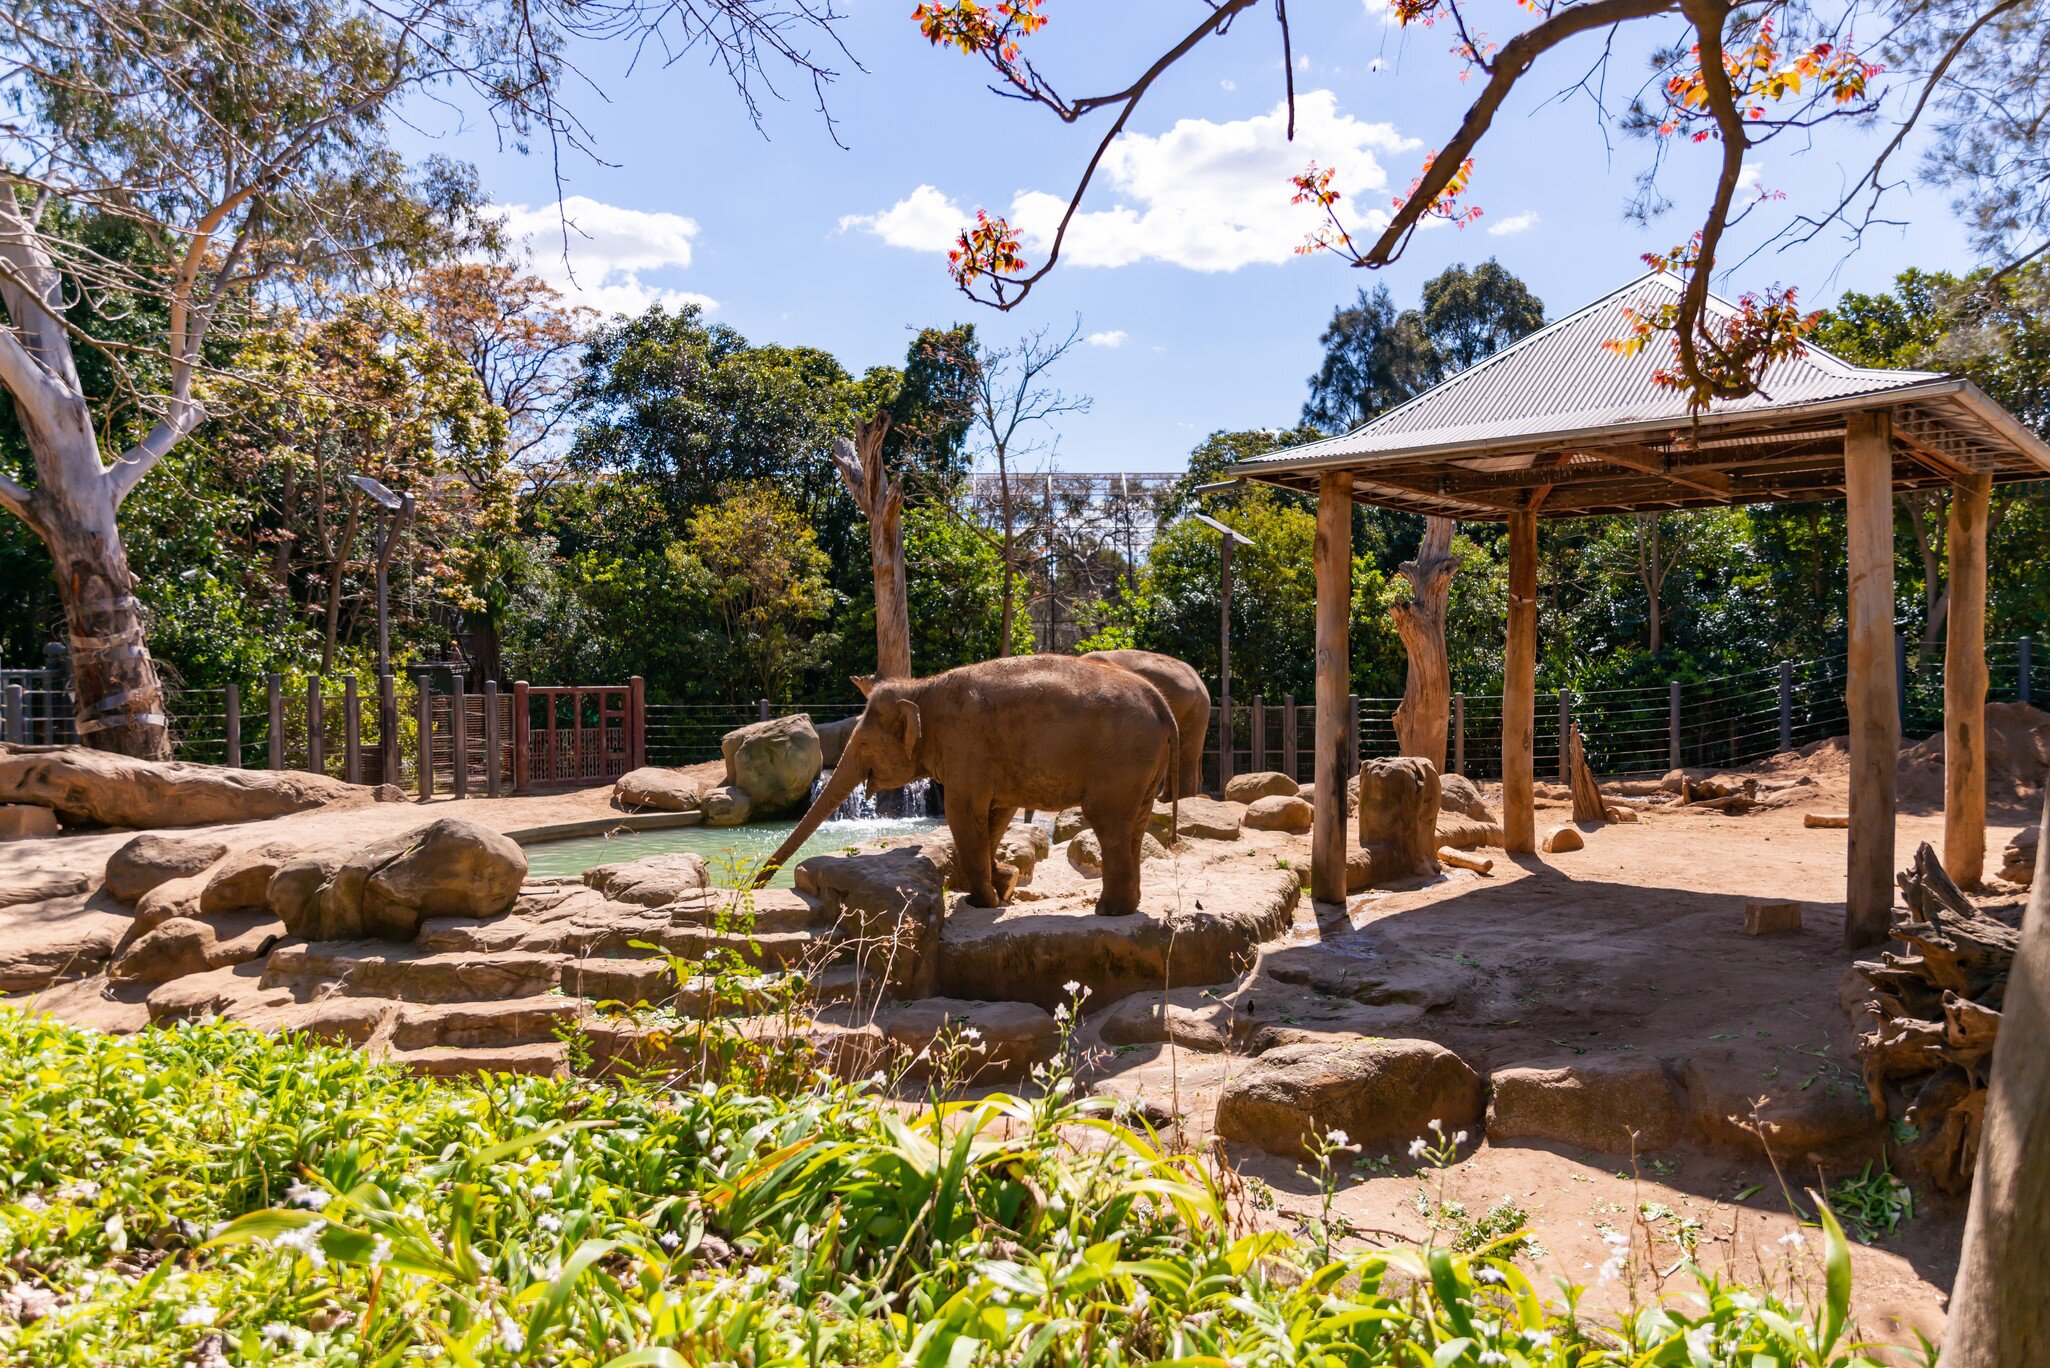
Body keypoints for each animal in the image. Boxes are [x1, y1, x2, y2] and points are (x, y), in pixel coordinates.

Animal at [756, 655, 1177, 917]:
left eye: (860, 743)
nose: (757, 884)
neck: (923, 688)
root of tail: (1162, 703)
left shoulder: (966, 745)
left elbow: (963, 812)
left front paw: (982, 901)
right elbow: (996, 814)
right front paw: (1003, 885)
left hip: (1121, 759)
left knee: (1109, 822)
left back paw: (1108, 911)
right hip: (1144, 765)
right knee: (1135, 824)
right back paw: (1126, 906)